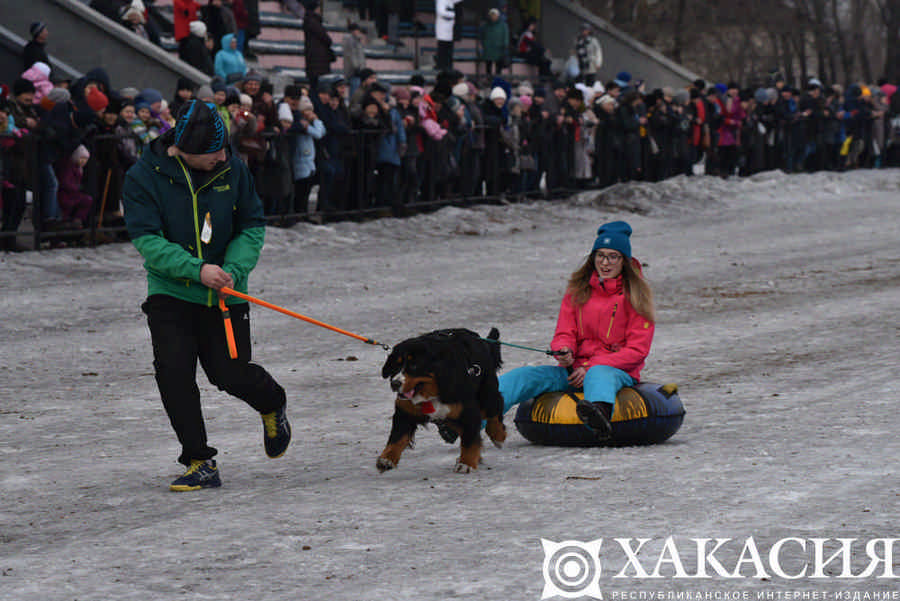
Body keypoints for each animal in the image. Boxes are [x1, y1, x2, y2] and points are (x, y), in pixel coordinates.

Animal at [378, 328, 506, 474]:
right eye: (396, 364)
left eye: (414, 365)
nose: (395, 383)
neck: (432, 391)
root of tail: (479, 338)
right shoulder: (405, 411)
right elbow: (397, 438)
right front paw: (387, 459)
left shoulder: (468, 411)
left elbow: (470, 440)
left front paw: (466, 463)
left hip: (486, 393)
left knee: (494, 410)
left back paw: (498, 436)